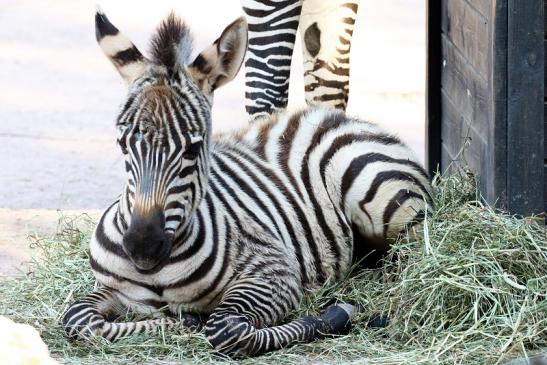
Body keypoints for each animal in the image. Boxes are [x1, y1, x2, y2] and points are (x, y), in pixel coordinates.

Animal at [62, 9, 434, 356]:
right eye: (123, 144)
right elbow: (78, 318)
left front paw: (333, 315)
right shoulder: (116, 291)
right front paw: (181, 320)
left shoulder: (275, 272)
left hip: (386, 202)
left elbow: (227, 329)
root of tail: (335, 117)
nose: (143, 248)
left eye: (193, 148)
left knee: (409, 257)